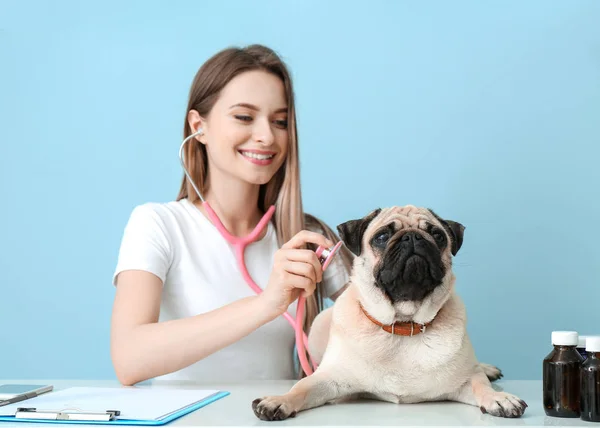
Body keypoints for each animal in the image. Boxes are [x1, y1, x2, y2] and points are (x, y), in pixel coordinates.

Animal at [251, 205, 528, 422]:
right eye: (382, 236)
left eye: (437, 235)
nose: (413, 237)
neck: (403, 324)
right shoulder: (329, 379)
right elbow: (301, 387)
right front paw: (278, 399)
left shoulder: (465, 379)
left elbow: (481, 385)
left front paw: (499, 398)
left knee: (478, 368)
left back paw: (487, 368)